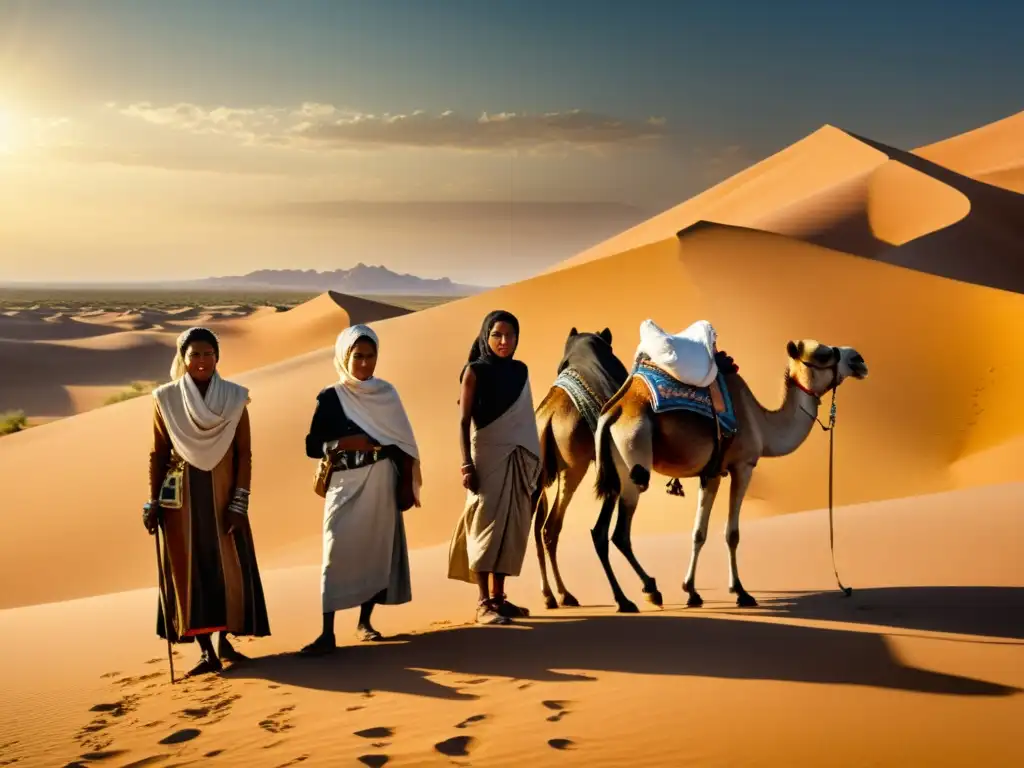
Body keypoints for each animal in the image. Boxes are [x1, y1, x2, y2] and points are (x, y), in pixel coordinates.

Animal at [593, 335, 864, 614]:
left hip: (615, 472)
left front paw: (692, 592)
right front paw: (741, 592)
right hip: (634, 463)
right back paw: (651, 591)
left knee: (599, 533)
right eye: (822, 354)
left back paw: (624, 600)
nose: (858, 359)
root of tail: (613, 412)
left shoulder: (711, 473)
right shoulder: (743, 466)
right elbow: (732, 533)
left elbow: (698, 532)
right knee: (620, 534)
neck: (762, 425)